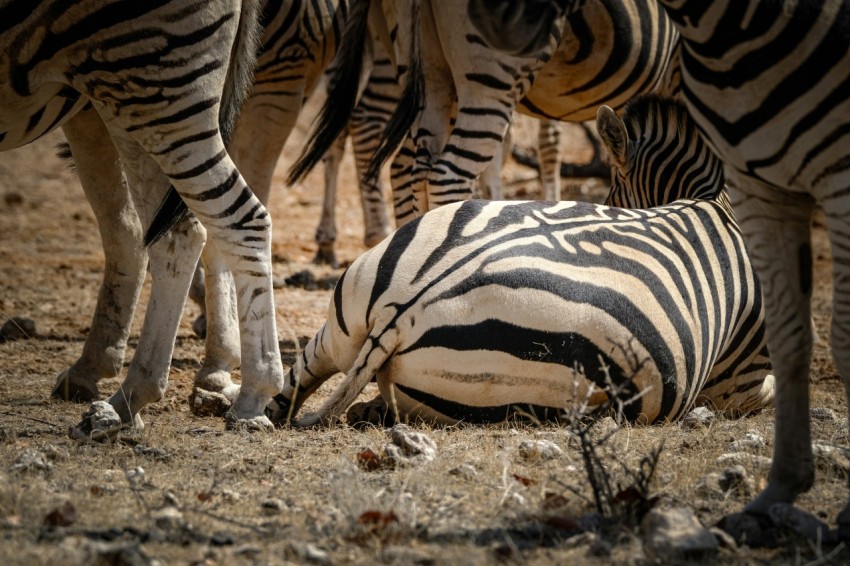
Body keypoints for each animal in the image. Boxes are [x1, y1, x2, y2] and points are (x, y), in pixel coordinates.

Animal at [268, 94, 772, 430]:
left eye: (612, 196)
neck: (713, 202)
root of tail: (402, 311)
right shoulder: (742, 383)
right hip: (543, 388)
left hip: (341, 319)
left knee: (286, 397)